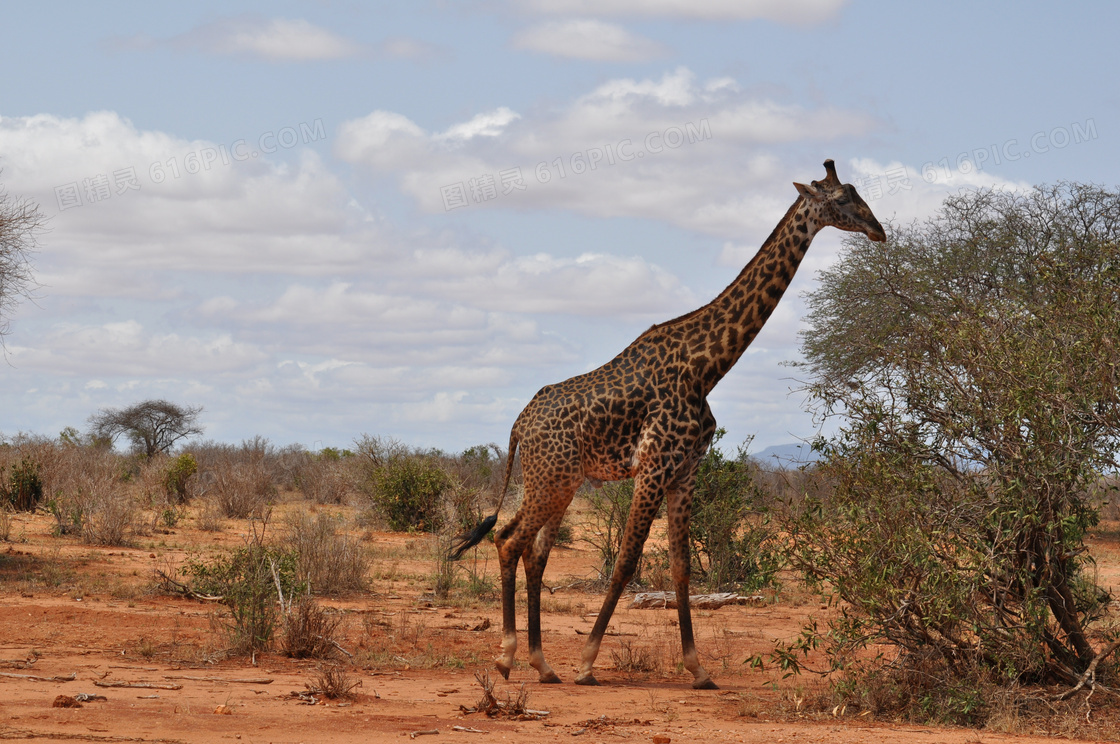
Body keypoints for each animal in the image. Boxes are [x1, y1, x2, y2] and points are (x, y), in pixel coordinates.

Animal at [450, 160, 887, 690]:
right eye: (843, 198)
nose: (879, 230)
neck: (707, 367)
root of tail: (518, 425)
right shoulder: (655, 466)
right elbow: (626, 560)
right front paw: (588, 662)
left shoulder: (685, 472)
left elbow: (681, 568)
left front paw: (698, 669)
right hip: (550, 479)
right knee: (509, 540)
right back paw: (508, 657)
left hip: (560, 481)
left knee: (530, 550)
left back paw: (541, 662)